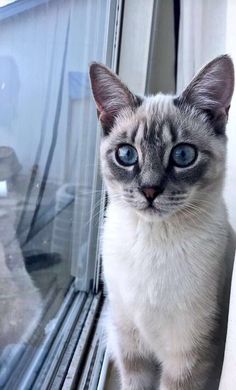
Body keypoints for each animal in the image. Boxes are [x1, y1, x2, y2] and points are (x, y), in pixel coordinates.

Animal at [89, 55, 235, 390]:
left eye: (182, 155)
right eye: (126, 154)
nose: (150, 190)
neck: (151, 240)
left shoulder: (188, 357)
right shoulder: (130, 346)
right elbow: (134, 383)